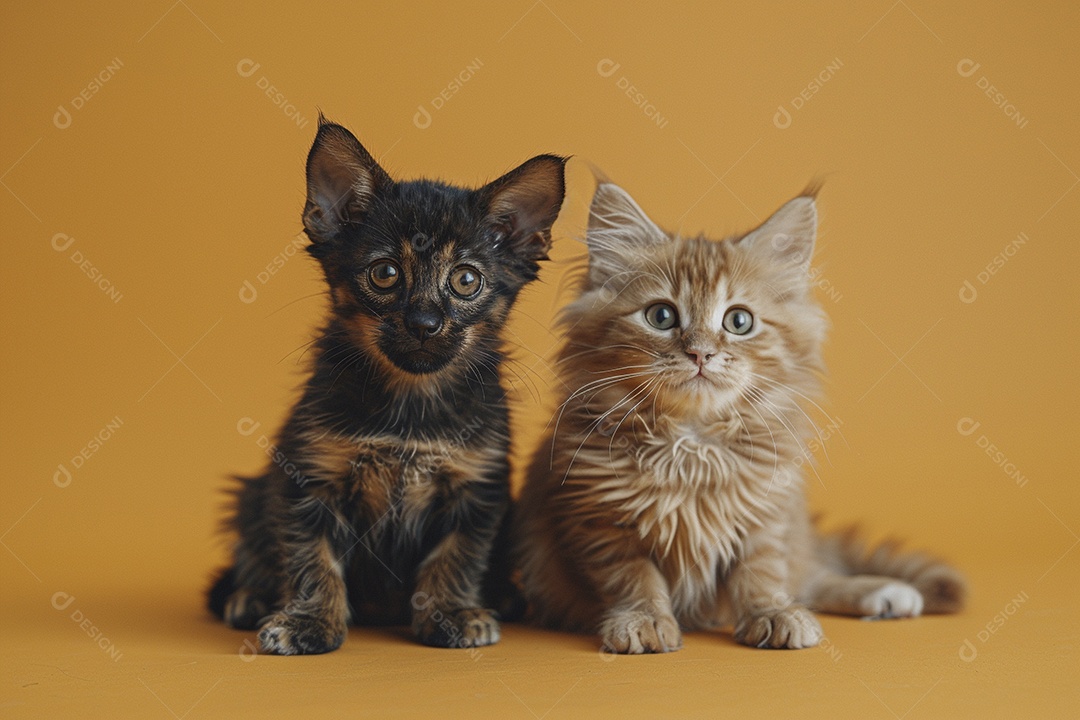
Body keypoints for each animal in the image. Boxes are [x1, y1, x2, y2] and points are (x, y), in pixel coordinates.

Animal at [206, 117, 570, 651]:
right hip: (252, 494)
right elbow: (312, 559)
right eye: (385, 273)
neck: (411, 402)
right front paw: (309, 622)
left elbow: (456, 555)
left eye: (466, 280)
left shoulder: (477, 484)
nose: (423, 322)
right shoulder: (307, 475)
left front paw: (451, 614)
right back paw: (248, 597)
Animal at [518, 181, 967, 651]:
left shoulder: (765, 514)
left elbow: (762, 573)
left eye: (738, 321)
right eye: (661, 315)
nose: (700, 353)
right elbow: (633, 576)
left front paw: (771, 613)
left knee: (810, 575)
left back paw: (884, 592)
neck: (691, 445)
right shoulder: (598, 520)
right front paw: (644, 619)